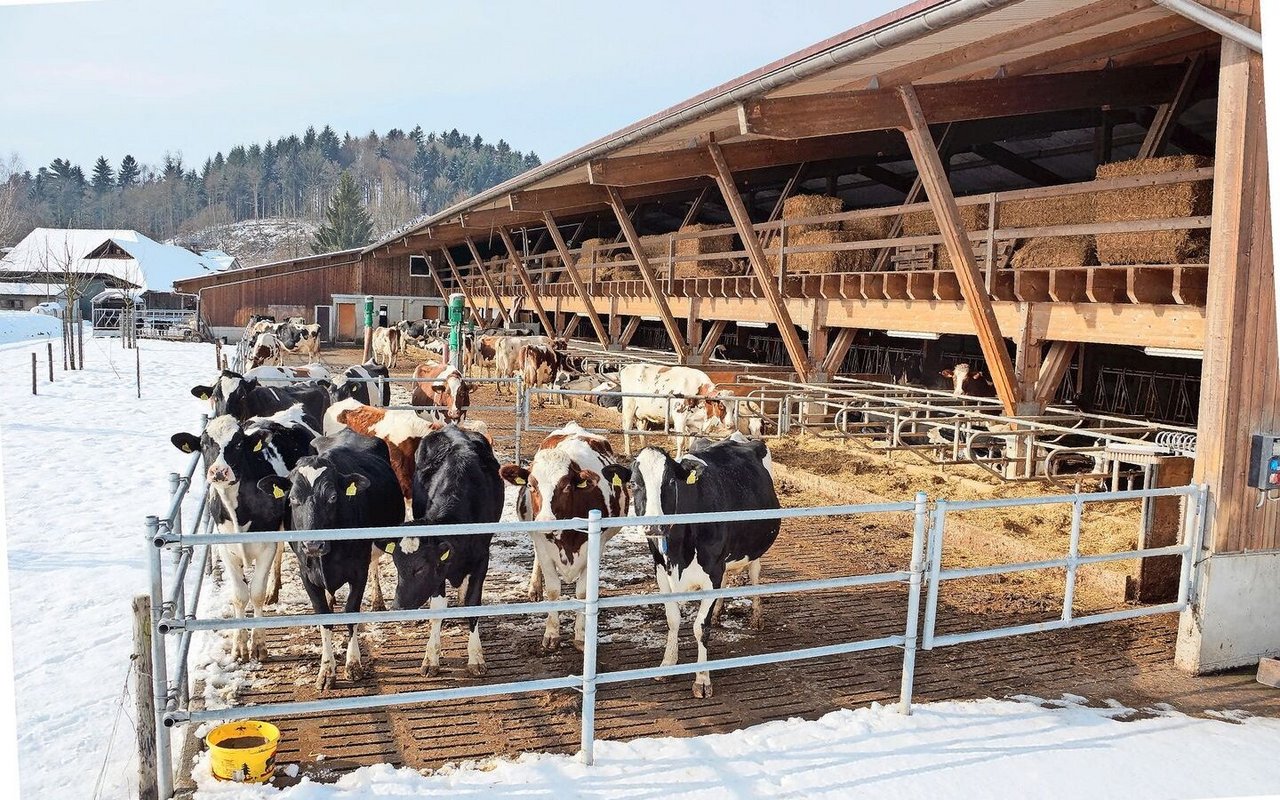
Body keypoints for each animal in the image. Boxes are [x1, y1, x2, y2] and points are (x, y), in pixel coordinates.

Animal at [168, 404, 318, 660]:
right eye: (204, 444)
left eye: (238, 443)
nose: (219, 471)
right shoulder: (225, 548)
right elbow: (239, 596)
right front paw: (239, 646)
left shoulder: (266, 544)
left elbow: (255, 592)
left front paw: (258, 644)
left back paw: (273, 589)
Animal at [256, 427, 404, 691]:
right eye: (293, 499)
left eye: (333, 497)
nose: (313, 544)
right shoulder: (306, 574)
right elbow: (324, 616)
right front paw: (326, 670)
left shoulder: (358, 571)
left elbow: (351, 612)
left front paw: (353, 664)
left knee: (375, 563)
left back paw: (377, 600)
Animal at [373, 424, 501, 675]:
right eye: (396, 565)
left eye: (421, 568)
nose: (398, 606)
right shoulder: (441, 570)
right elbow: (437, 607)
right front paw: (431, 658)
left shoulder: (482, 558)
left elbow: (473, 603)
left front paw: (476, 656)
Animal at [496, 422, 627, 652]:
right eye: (531, 485)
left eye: (566, 486)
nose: (546, 522)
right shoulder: (543, 545)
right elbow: (553, 590)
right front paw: (551, 634)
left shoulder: (595, 547)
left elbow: (582, 593)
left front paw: (581, 636)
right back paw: (534, 588)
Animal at [619, 432, 778, 696]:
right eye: (633, 484)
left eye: (671, 482)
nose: (653, 526)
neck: (678, 553)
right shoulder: (661, 570)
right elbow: (673, 619)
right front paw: (667, 664)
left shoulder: (712, 571)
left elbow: (700, 627)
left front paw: (702, 678)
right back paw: (720, 612)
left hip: (754, 546)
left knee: (755, 575)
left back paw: (757, 617)